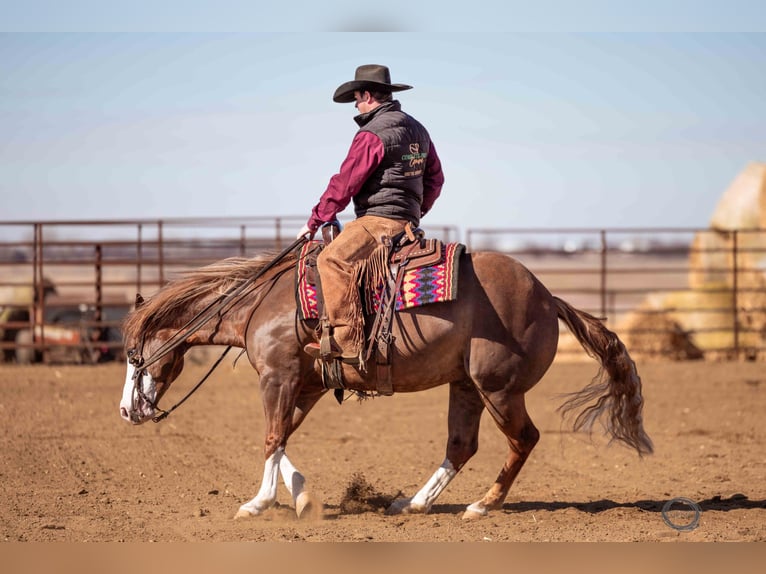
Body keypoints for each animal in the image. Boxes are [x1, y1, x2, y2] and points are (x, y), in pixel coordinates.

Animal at [119, 243, 653, 520]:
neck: (263, 303)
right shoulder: (307, 385)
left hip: (498, 387)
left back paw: (482, 505)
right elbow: (281, 438)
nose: (127, 411)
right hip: (466, 386)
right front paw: (303, 497)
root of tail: (547, 296)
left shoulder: (279, 376)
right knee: (462, 445)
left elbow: (270, 437)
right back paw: (413, 502)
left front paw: (258, 503)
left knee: (523, 439)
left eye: (133, 355)